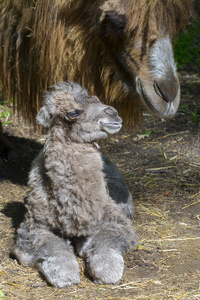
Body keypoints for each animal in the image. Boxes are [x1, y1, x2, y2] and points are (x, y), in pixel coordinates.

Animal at [10, 82, 136, 288]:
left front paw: (107, 270)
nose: (113, 114)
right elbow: (52, 247)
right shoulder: (34, 226)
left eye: (98, 100)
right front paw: (64, 274)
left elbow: (107, 240)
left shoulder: (113, 218)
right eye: (73, 112)